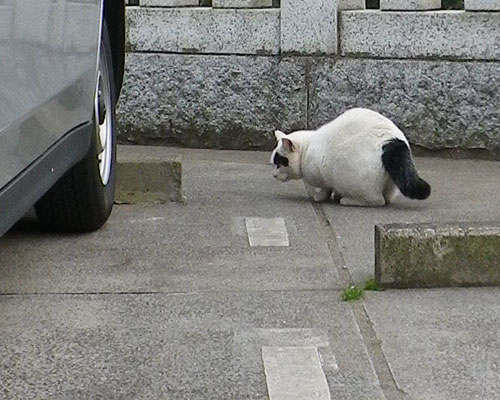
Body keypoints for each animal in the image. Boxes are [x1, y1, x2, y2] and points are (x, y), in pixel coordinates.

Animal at [272, 107, 432, 206]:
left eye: (280, 163)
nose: (273, 175)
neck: (307, 148)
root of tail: (391, 142)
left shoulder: (323, 175)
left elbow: (326, 188)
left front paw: (321, 196)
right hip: (391, 182)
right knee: (386, 198)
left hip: (353, 179)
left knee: (377, 200)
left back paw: (348, 200)